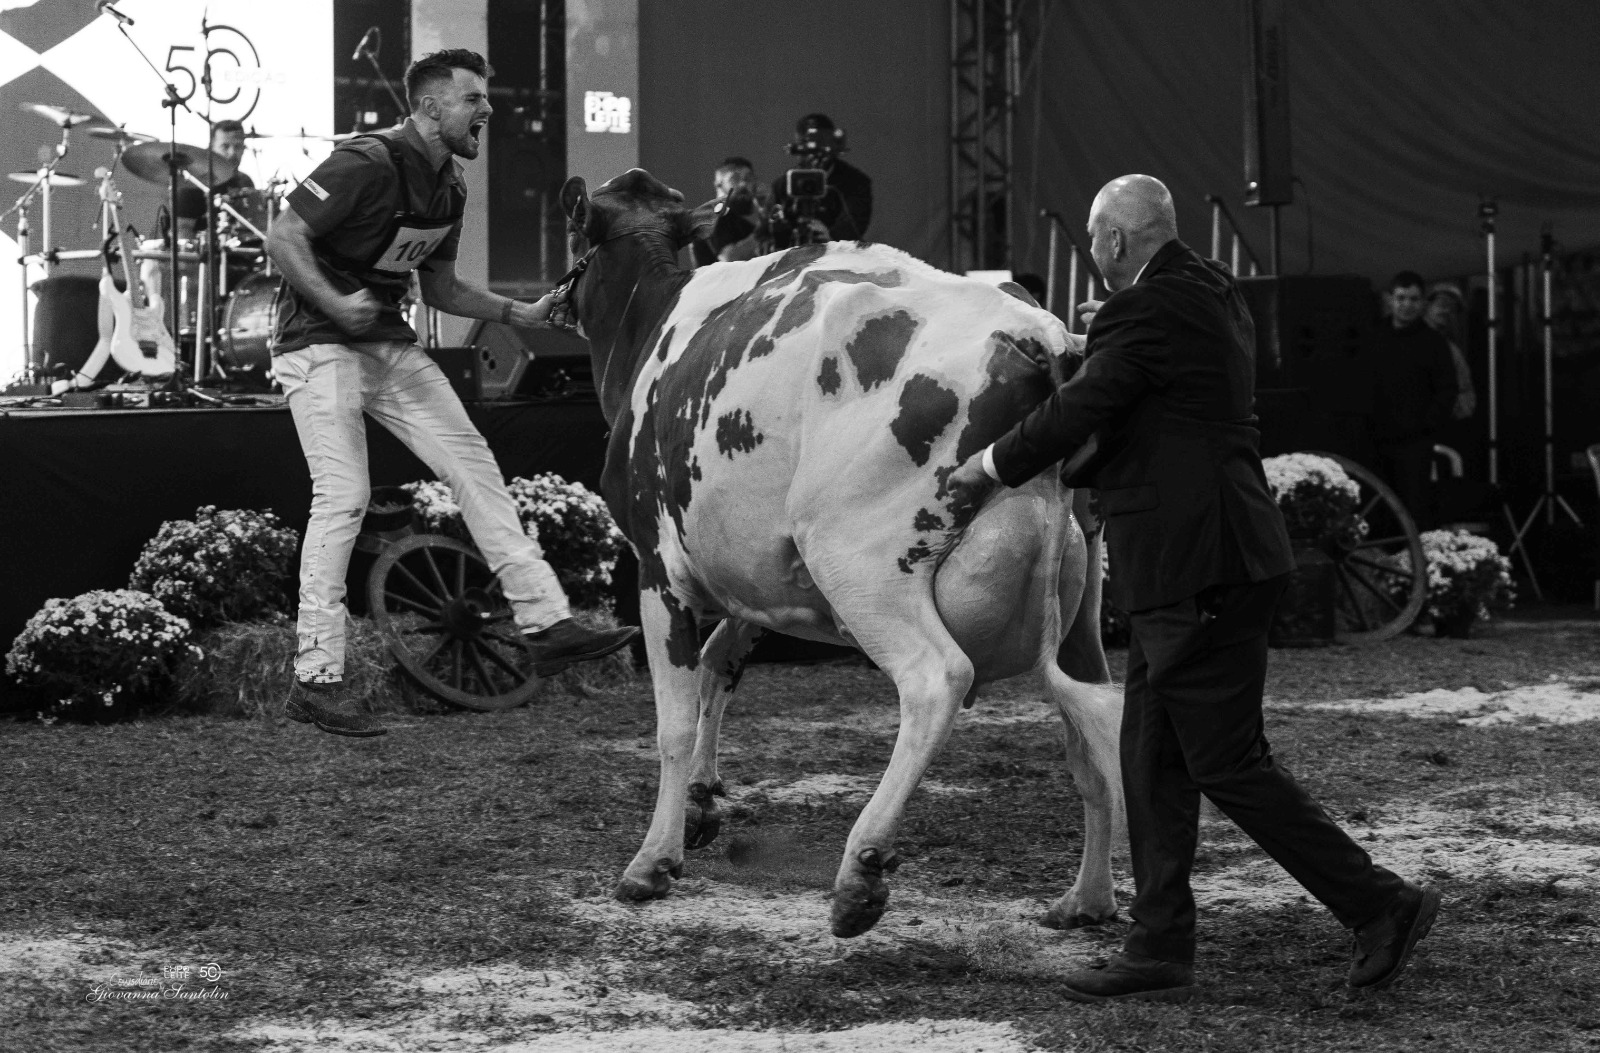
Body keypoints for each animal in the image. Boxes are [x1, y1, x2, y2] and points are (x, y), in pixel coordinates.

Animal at [563, 172, 1126, 934]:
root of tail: (1040, 336)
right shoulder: (760, 579)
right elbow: (720, 661)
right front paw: (705, 799)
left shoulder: (660, 569)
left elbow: (672, 720)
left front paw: (653, 860)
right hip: (1077, 599)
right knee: (1097, 721)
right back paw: (1088, 897)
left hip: (860, 561)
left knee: (936, 679)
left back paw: (860, 871)